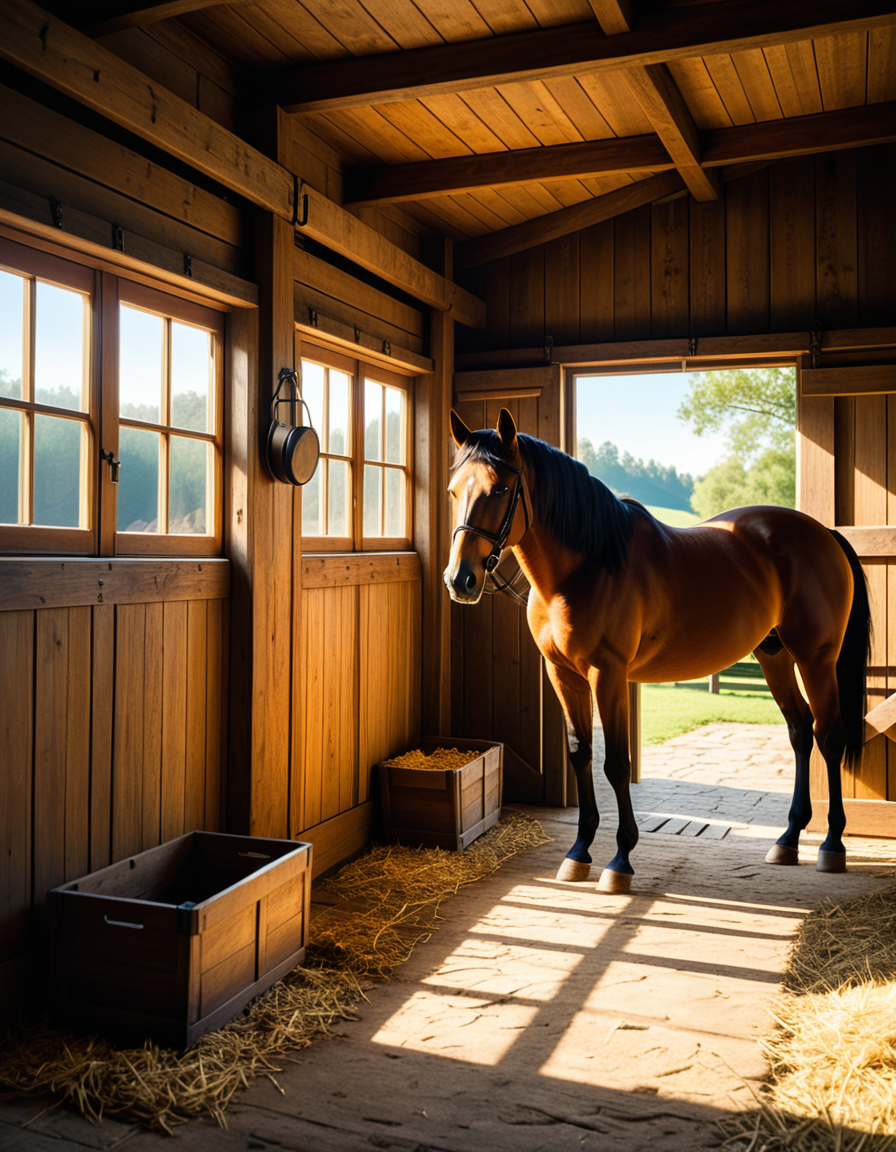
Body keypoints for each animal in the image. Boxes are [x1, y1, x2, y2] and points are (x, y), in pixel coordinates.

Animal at [444, 408, 870, 893]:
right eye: (454, 490)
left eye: (499, 488)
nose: (460, 580)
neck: (588, 565)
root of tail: (823, 533)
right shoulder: (563, 674)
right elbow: (580, 754)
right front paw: (578, 853)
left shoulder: (608, 674)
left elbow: (616, 764)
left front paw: (620, 860)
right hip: (774, 654)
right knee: (800, 731)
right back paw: (788, 839)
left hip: (816, 658)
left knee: (828, 736)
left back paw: (831, 845)